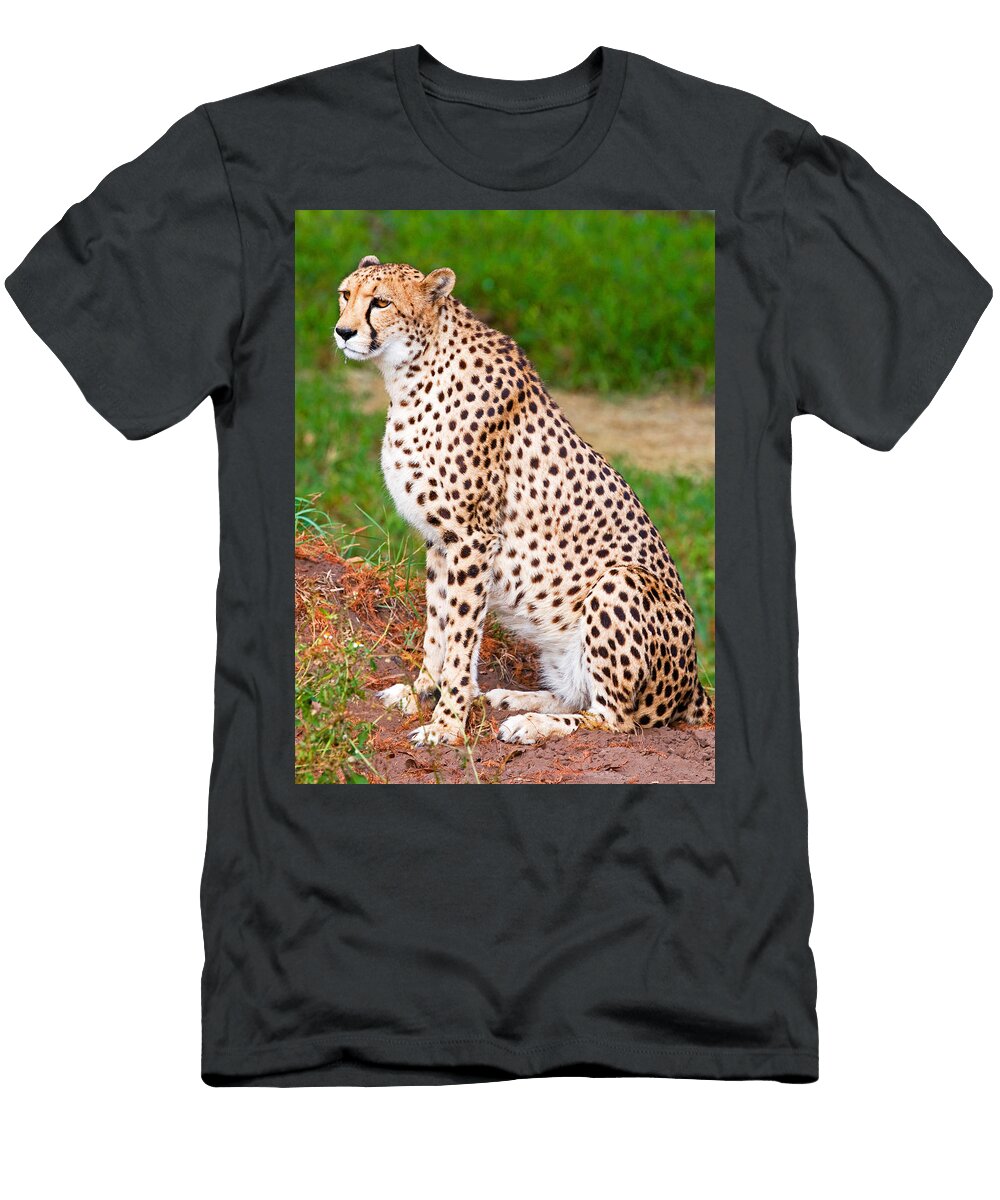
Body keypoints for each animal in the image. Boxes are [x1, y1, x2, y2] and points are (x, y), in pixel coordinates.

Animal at [333, 254, 714, 747]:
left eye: (380, 302)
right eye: (345, 295)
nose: (343, 331)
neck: (409, 372)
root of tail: (694, 685)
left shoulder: (472, 539)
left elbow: (460, 638)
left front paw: (447, 723)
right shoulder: (439, 541)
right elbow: (437, 626)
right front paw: (422, 691)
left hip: (621, 583)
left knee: (615, 720)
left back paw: (529, 723)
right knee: (578, 697)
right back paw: (514, 699)